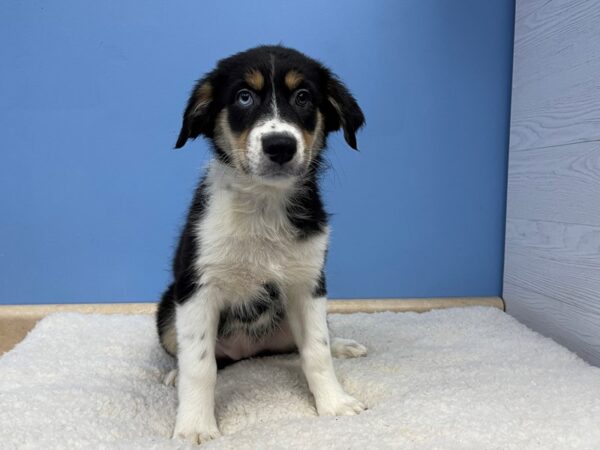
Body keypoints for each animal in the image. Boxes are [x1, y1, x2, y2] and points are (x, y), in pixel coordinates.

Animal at [155, 45, 368, 442]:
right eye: (244, 97)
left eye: (303, 97)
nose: (280, 145)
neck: (264, 206)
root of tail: (249, 350)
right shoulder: (198, 286)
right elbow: (200, 365)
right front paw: (194, 427)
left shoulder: (308, 283)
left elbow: (316, 351)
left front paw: (334, 404)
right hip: (167, 306)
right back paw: (174, 375)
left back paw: (343, 346)